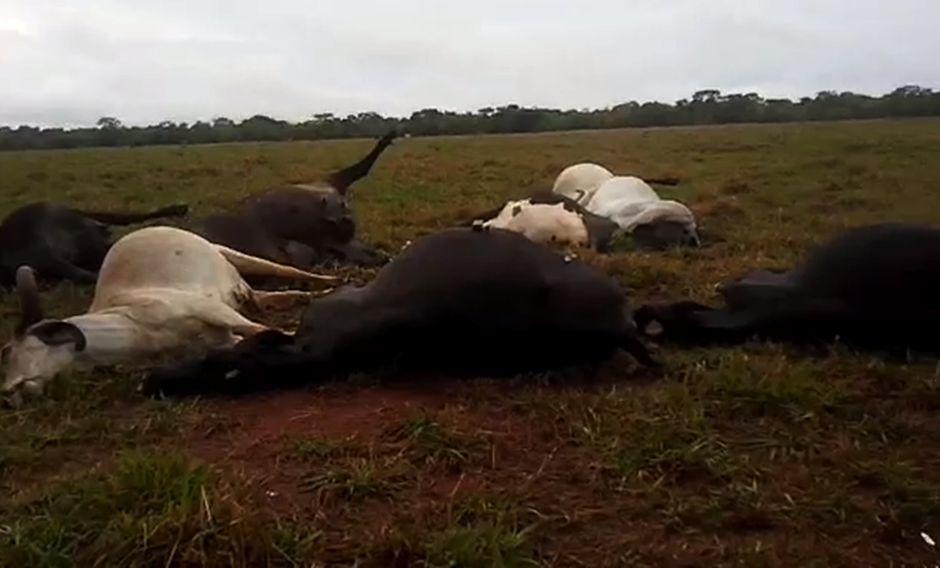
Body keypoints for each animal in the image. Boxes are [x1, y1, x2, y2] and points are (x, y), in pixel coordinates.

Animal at [0, 224, 338, 406]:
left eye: (11, 351)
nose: (6, 394)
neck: (133, 327)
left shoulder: (210, 309)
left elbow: (255, 329)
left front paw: (296, 334)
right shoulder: (219, 339)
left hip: (228, 253)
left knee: (285, 271)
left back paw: (329, 282)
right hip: (245, 289)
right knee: (270, 297)